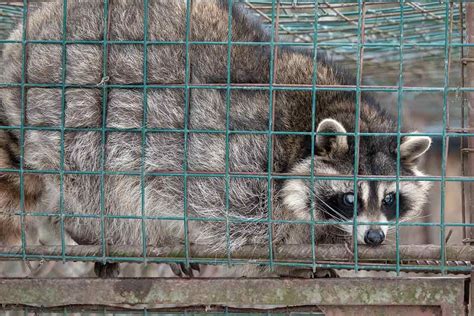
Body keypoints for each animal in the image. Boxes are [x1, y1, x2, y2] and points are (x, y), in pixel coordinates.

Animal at [0, 0, 430, 272]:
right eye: (349, 197)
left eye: (390, 199)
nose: (374, 237)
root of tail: (26, 29)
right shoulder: (240, 158)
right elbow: (211, 212)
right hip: (69, 106)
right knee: (94, 181)